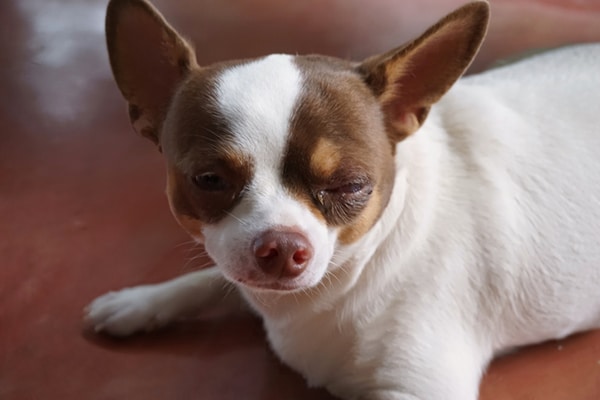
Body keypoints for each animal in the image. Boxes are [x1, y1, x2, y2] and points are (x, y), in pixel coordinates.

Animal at [86, 1, 600, 398]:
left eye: (351, 187)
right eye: (209, 179)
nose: (282, 246)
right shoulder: (236, 263)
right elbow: (210, 276)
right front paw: (140, 302)